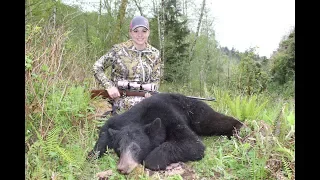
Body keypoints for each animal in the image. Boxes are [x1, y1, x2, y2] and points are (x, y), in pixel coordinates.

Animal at [88, 92, 242, 174]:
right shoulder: (123, 119)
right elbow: (106, 128)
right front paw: (92, 154)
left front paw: (152, 160)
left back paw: (237, 128)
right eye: (119, 149)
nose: (122, 168)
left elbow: (192, 143)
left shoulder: (170, 118)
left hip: (195, 112)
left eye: (135, 148)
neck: (144, 118)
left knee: (210, 121)